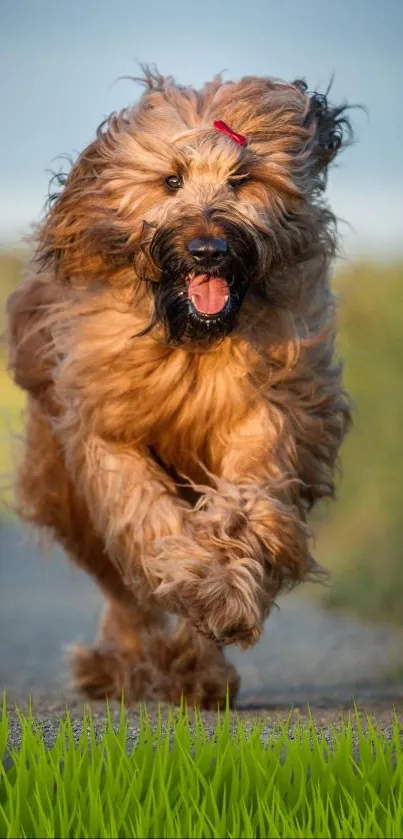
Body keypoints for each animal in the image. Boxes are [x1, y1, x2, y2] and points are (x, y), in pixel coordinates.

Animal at [5, 70, 354, 708]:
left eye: (242, 179)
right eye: (171, 180)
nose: (208, 250)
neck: (190, 340)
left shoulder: (266, 410)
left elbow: (245, 506)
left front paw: (222, 595)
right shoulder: (106, 427)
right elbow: (145, 515)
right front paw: (194, 579)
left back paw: (198, 670)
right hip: (63, 490)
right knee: (121, 586)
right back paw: (123, 665)